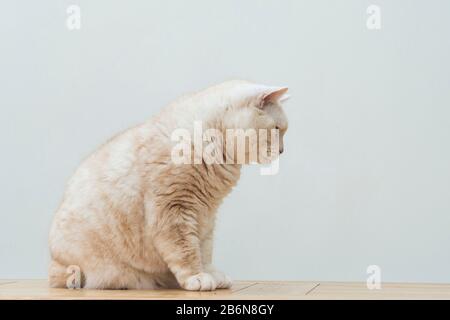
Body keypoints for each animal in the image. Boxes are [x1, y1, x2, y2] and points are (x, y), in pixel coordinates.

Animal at [48, 80, 288, 290]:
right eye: (277, 129)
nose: (282, 150)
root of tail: (54, 264)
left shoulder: (206, 216)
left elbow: (204, 250)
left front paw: (210, 273)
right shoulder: (174, 210)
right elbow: (186, 251)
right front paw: (197, 277)